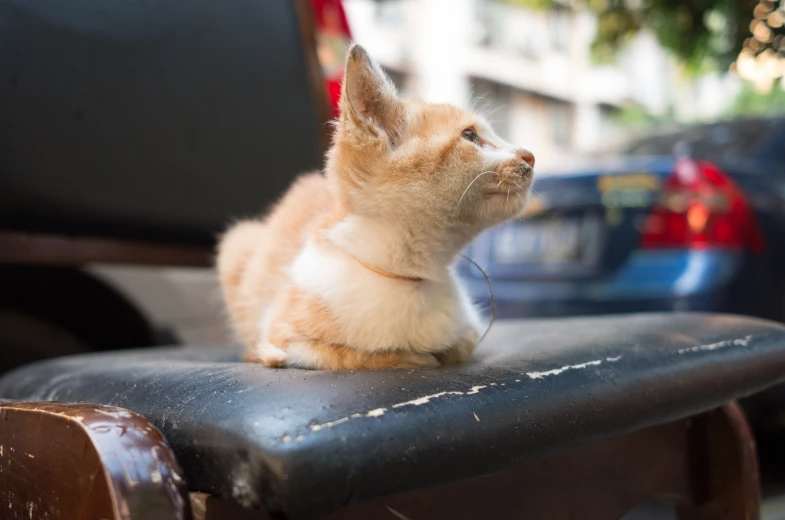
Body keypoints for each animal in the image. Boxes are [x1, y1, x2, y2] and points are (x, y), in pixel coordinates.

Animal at [214, 44, 532, 370]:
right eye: (470, 136)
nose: (529, 155)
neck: (407, 275)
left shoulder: (469, 329)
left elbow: (458, 348)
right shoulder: (284, 331)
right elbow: (350, 355)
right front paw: (409, 355)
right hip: (237, 241)